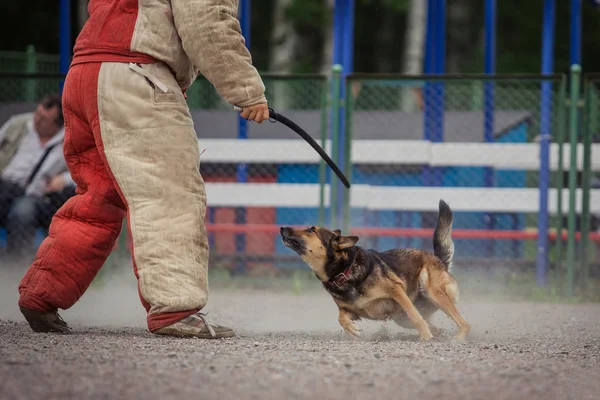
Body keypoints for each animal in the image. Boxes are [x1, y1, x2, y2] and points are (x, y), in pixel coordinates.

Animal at [278, 198, 472, 342]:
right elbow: (341, 317)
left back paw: (456, 338)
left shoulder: (397, 292)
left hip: (433, 292)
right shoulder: (353, 310)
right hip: (402, 318)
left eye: (311, 230)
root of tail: (439, 260)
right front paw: (351, 329)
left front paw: (425, 336)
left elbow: (415, 316)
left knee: (462, 323)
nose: (282, 228)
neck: (345, 271)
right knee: (431, 323)